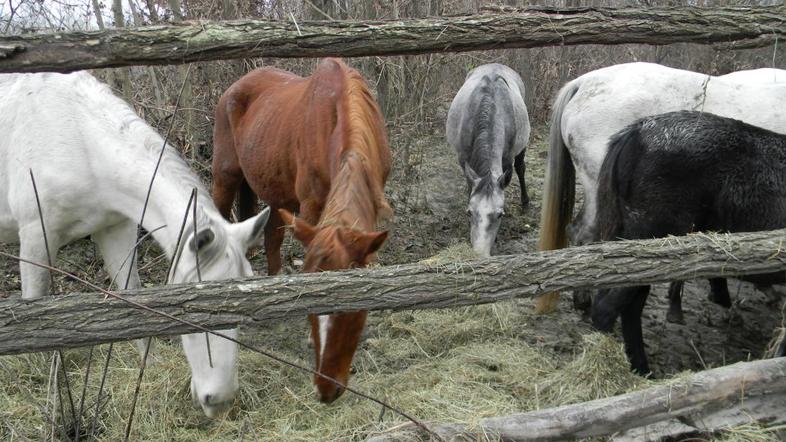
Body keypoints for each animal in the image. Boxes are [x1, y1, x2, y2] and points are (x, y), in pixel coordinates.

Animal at [0, 72, 270, 418]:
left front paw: (149, 365)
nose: (219, 400)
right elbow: (34, 304)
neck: (82, 142)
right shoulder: (36, 234)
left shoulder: (116, 229)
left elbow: (132, 294)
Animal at [211, 58, 392, 404]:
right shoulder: (310, 206)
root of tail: (233, 89)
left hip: (274, 191)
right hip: (225, 178)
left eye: (353, 312)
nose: (326, 387)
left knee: (272, 239)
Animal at [444, 62, 528, 256]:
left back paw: (525, 203)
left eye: (500, 214)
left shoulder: (507, 160)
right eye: (469, 212)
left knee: (521, 168)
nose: (479, 254)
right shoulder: (463, 159)